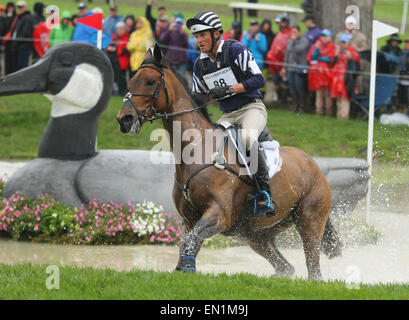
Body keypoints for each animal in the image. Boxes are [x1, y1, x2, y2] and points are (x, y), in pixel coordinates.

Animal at [116, 44, 340, 280]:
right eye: (132, 80)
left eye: (150, 81)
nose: (124, 119)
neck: (197, 147)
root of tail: (313, 164)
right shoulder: (190, 219)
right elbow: (188, 242)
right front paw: (185, 267)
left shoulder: (219, 214)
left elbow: (191, 240)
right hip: (257, 234)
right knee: (285, 267)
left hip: (310, 220)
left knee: (314, 269)